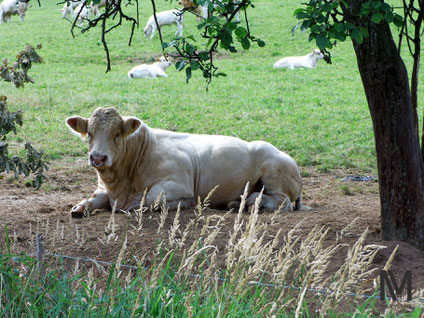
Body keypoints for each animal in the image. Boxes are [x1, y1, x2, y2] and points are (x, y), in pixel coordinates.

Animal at [66, 107, 304, 216]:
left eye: (116, 134)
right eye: (89, 133)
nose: (98, 157)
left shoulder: (178, 183)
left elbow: (150, 199)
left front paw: (184, 204)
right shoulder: (104, 189)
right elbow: (94, 198)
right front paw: (80, 206)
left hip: (274, 174)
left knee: (281, 203)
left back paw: (254, 202)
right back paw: (234, 203)